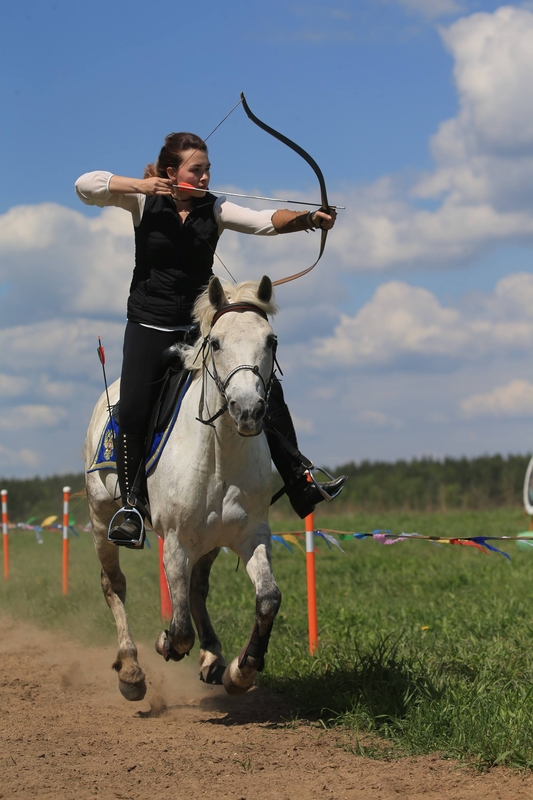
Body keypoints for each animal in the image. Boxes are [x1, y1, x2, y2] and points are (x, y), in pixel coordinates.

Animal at [84, 276, 282, 700]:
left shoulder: (251, 534)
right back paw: (130, 670)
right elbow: (178, 630)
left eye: (271, 340)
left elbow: (268, 600)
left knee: (198, 588)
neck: (220, 454)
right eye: (217, 342)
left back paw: (213, 658)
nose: (248, 410)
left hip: (210, 540)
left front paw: (240, 671)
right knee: (114, 585)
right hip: (101, 519)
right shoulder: (175, 543)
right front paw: (164, 646)